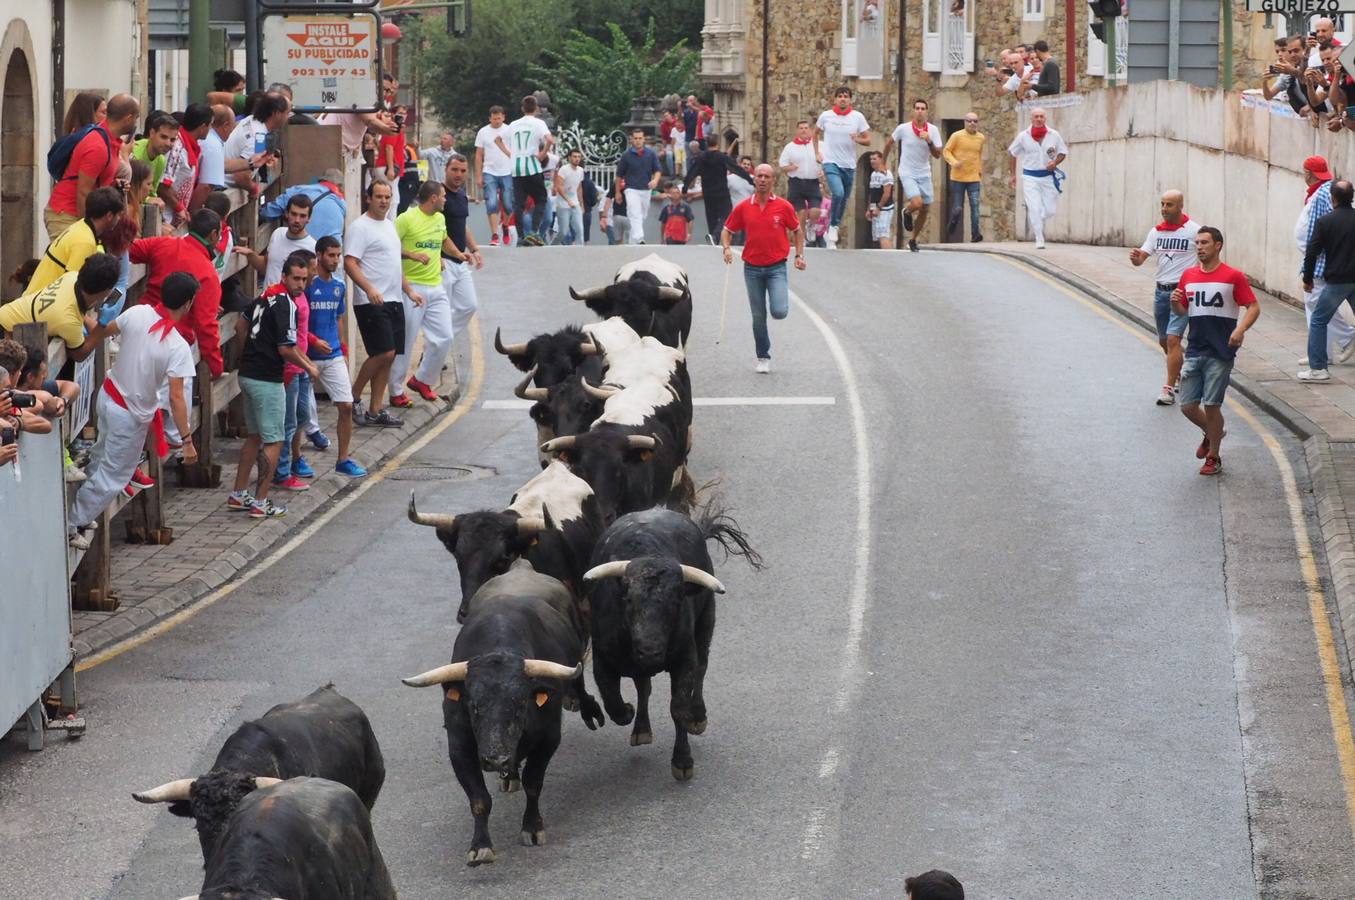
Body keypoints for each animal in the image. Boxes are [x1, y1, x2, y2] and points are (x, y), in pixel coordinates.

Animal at [398, 590, 596, 867]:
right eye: (474, 706)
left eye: (520, 704)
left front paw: (532, 828)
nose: (495, 759)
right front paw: (480, 846)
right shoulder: (459, 747)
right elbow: (479, 799)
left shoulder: (548, 739)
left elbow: (533, 783)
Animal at [579, 506, 758, 780]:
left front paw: (682, 761)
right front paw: (628, 711)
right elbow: (613, 704)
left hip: (706, 621)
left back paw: (698, 716)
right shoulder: (602, 660)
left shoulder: (684, 660)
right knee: (643, 687)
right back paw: (641, 729)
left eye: (676, 602)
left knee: (702, 667)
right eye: (628, 600)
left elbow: (678, 708)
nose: (650, 651)